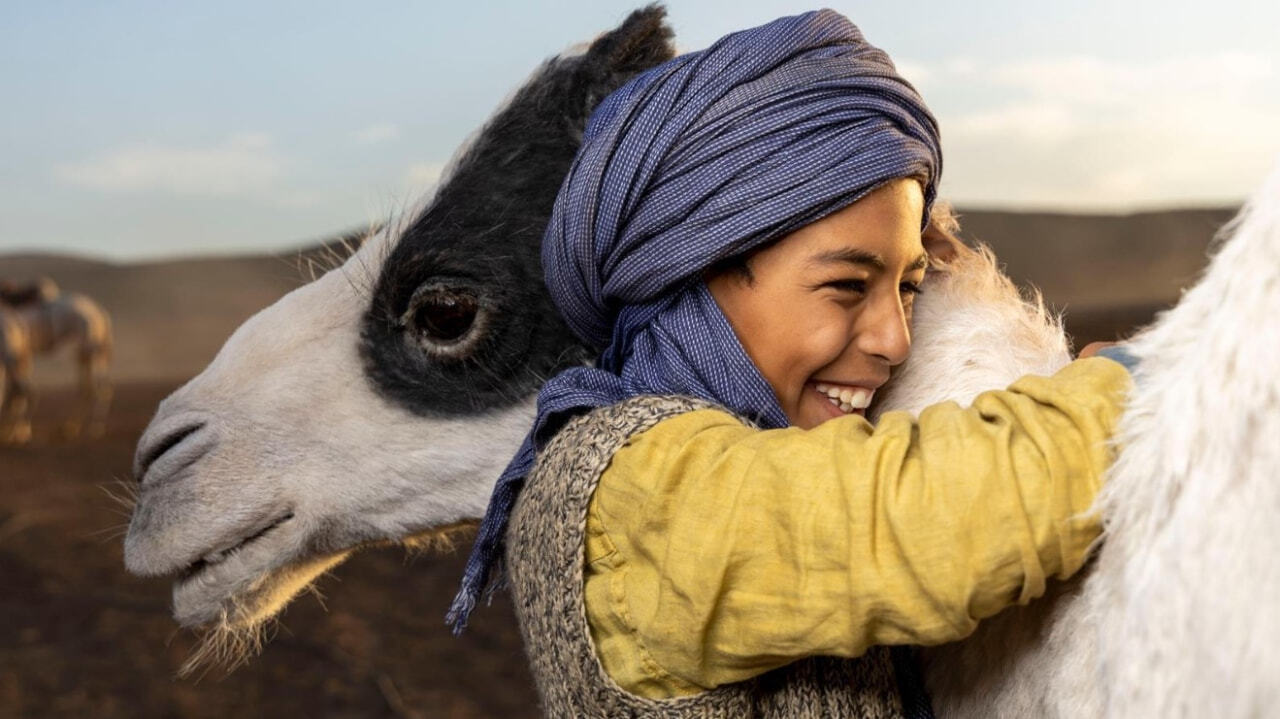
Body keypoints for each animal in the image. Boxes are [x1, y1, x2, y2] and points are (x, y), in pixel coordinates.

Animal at [0, 275, 113, 440]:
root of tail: (99, 312)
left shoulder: (14, 354)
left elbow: (13, 392)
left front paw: (17, 431)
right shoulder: (21, 356)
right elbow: (12, 392)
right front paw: (15, 429)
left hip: (91, 348)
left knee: (99, 387)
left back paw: (94, 428)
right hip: (83, 353)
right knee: (87, 388)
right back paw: (72, 427)